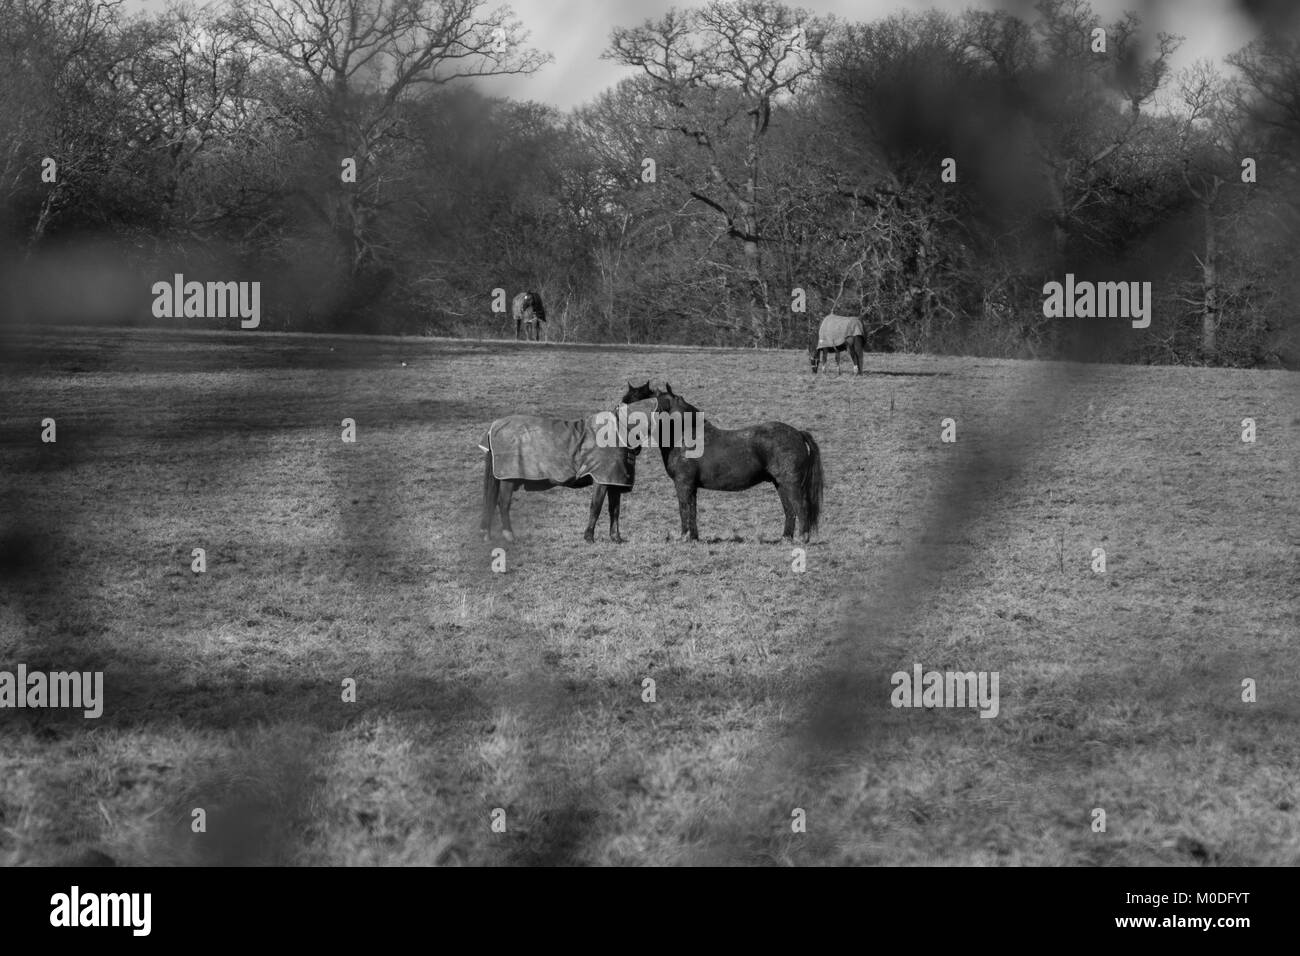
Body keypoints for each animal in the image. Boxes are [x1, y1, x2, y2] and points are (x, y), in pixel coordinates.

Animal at [478, 382, 655, 546]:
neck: (618, 431)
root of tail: (494, 427)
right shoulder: (601, 479)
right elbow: (596, 507)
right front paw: (589, 537)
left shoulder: (613, 482)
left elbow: (615, 510)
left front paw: (616, 538)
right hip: (508, 478)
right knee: (503, 504)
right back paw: (509, 536)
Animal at [650, 382, 821, 546]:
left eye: (660, 407)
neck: (686, 438)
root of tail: (798, 433)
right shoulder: (691, 487)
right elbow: (692, 511)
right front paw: (693, 538)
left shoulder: (683, 484)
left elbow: (684, 509)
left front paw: (684, 537)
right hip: (780, 484)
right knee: (789, 510)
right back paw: (786, 538)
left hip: (791, 484)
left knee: (801, 507)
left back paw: (802, 538)